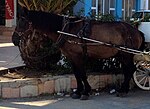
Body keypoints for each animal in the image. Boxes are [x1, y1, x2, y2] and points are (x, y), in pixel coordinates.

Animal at [12, 7, 145, 99]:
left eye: (22, 21)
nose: (14, 39)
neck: (67, 29)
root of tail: (136, 31)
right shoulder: (71, 57)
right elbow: (76, 74)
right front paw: (78, 91)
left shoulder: (77, 56)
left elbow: (82, 73)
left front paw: (85, 92)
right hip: (122, 55)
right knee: (128, 70)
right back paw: (124, 89)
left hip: (127, 54)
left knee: (130, 70)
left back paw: (123, 90)